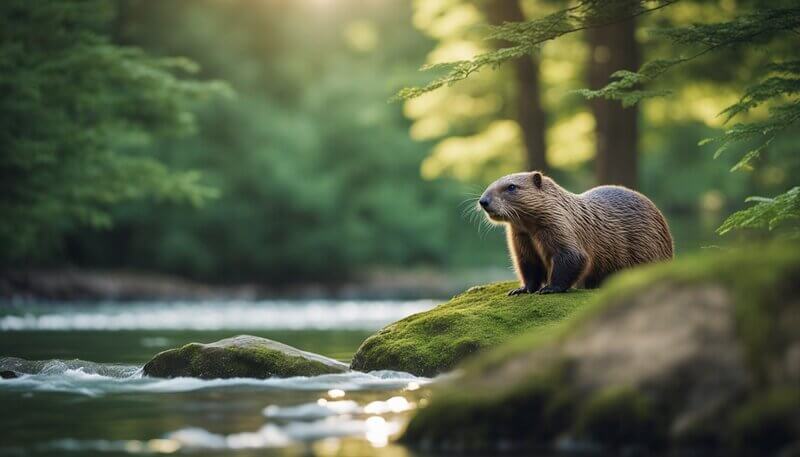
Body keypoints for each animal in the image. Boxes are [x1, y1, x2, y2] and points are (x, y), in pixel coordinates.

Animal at [478, 172, 672, 296]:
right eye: (491, 184)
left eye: (511, 187)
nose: (483, 201)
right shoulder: (523, 241)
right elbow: (529, 269)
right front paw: (520, 290)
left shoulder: (561, 229)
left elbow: (574, 259)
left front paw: (549, 288)